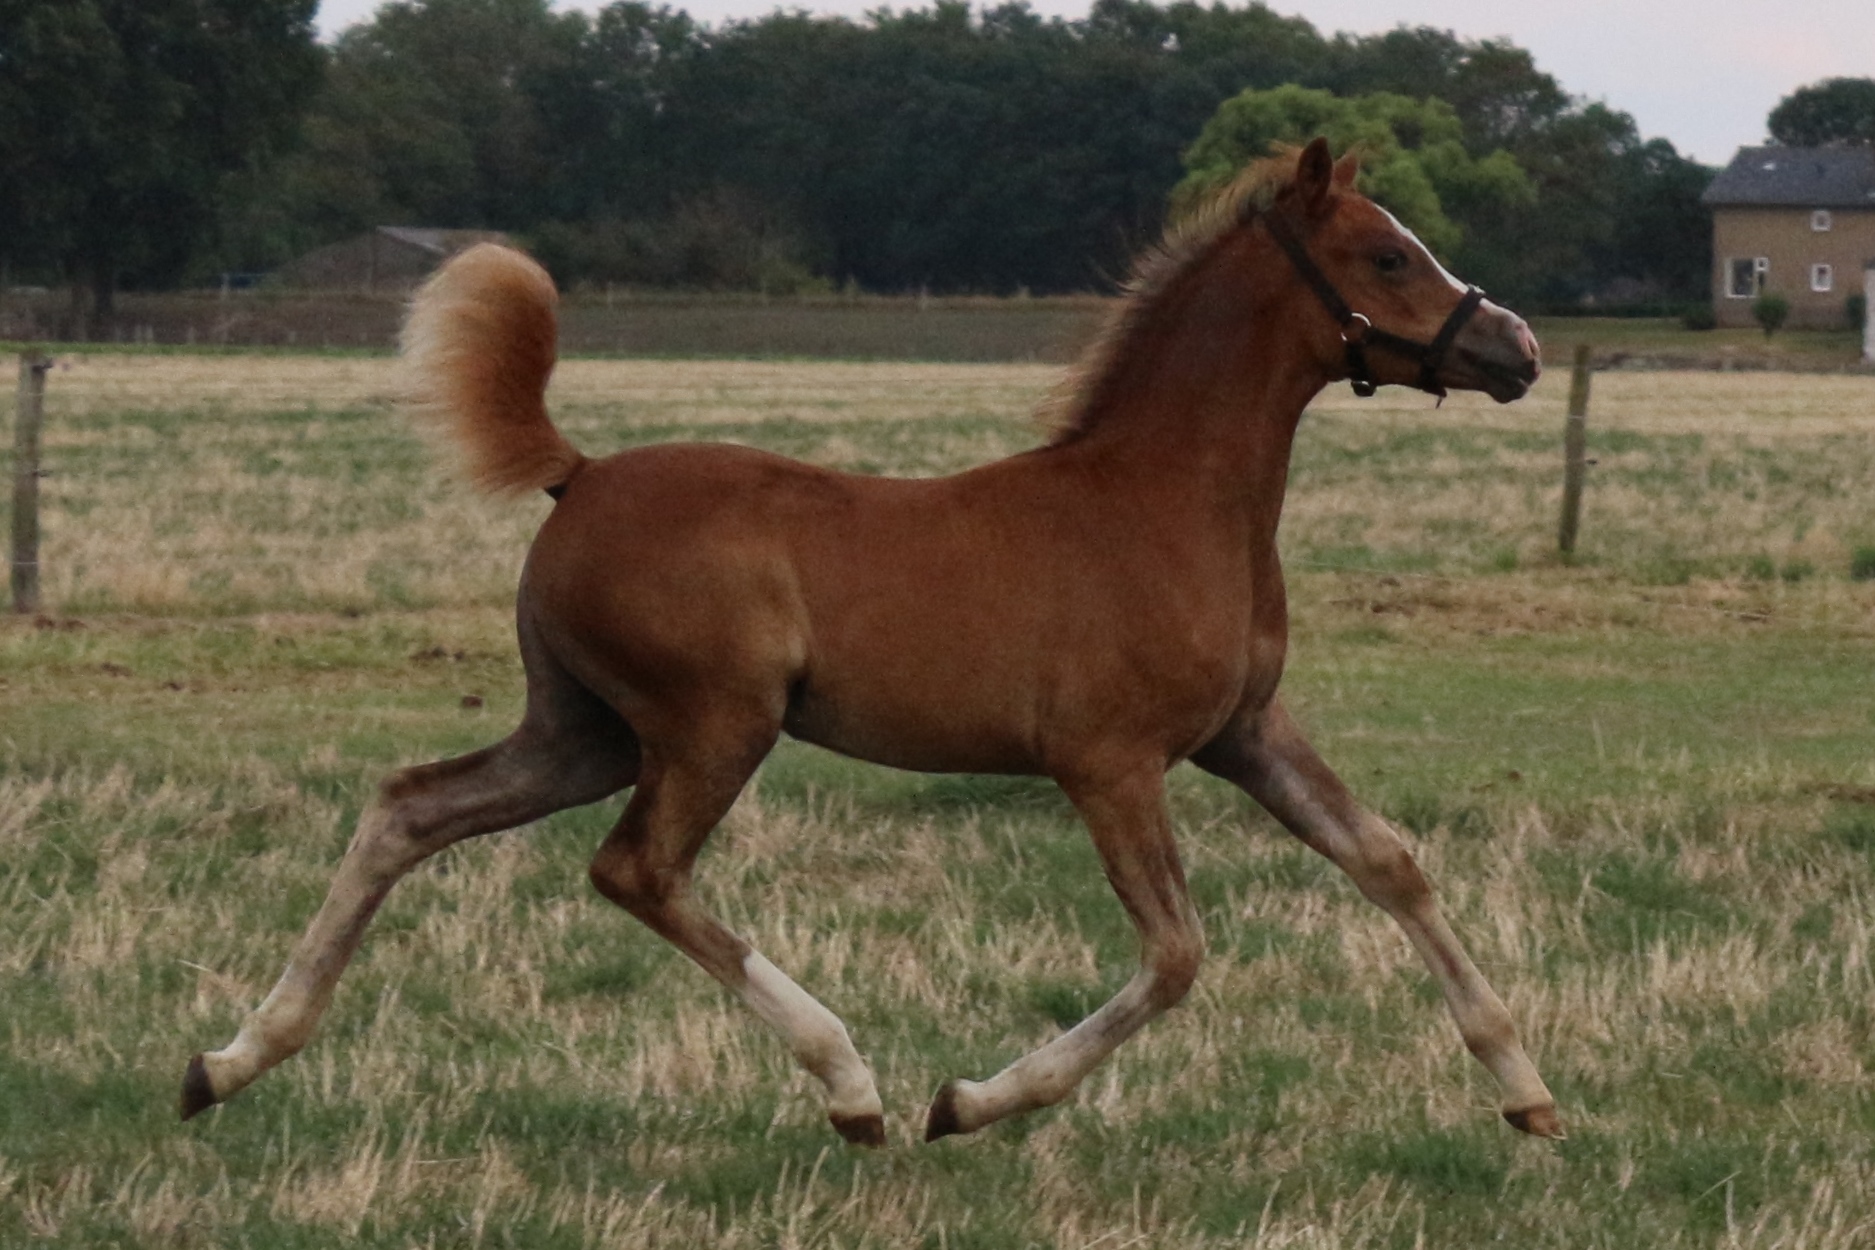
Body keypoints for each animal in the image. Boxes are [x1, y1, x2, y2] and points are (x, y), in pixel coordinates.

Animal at [186, 139, 1567, 1146]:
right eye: (1387, 254)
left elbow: (1388, 862)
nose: (1518, 349)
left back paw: (228, 1059)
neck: (1164, 500)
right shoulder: (1109, 761)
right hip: (712, 724)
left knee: (411, 806)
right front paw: (973, 1100)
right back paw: (852, 1086)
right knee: (636, 870)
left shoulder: (1244, 732)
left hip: (582, 731)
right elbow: (1175, 954)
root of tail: (577, 473)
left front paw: (1528, 1089)